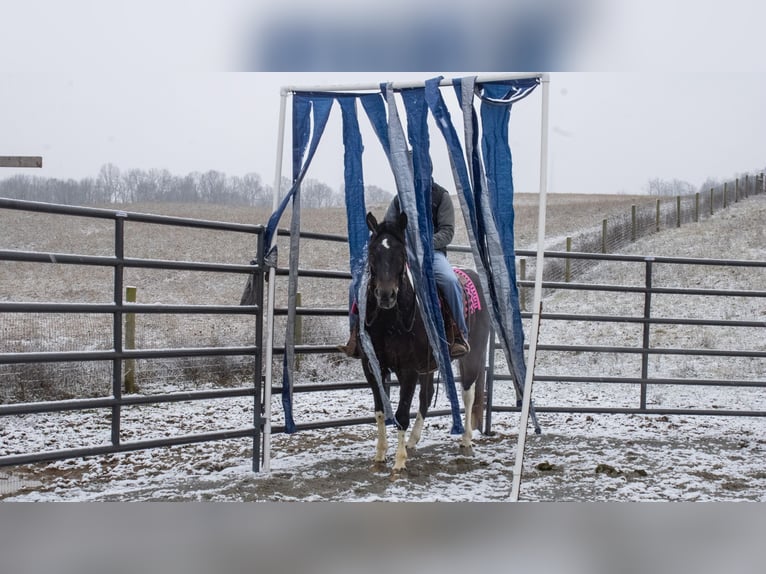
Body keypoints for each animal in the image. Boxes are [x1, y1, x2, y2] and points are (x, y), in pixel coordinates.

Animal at [360, 212, 492, 476]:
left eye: (401, 253)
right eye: (372, 253)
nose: (386, 295)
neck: (391, 320)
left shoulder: (408, 369)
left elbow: (401, 413)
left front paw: (399, 462)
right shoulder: (373, 368)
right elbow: (380, 412)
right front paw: (380, 456)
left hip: (472, 356)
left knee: (468, 394)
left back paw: (466, 439)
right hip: (430, 363)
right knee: (428, 395)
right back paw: (413, 440)